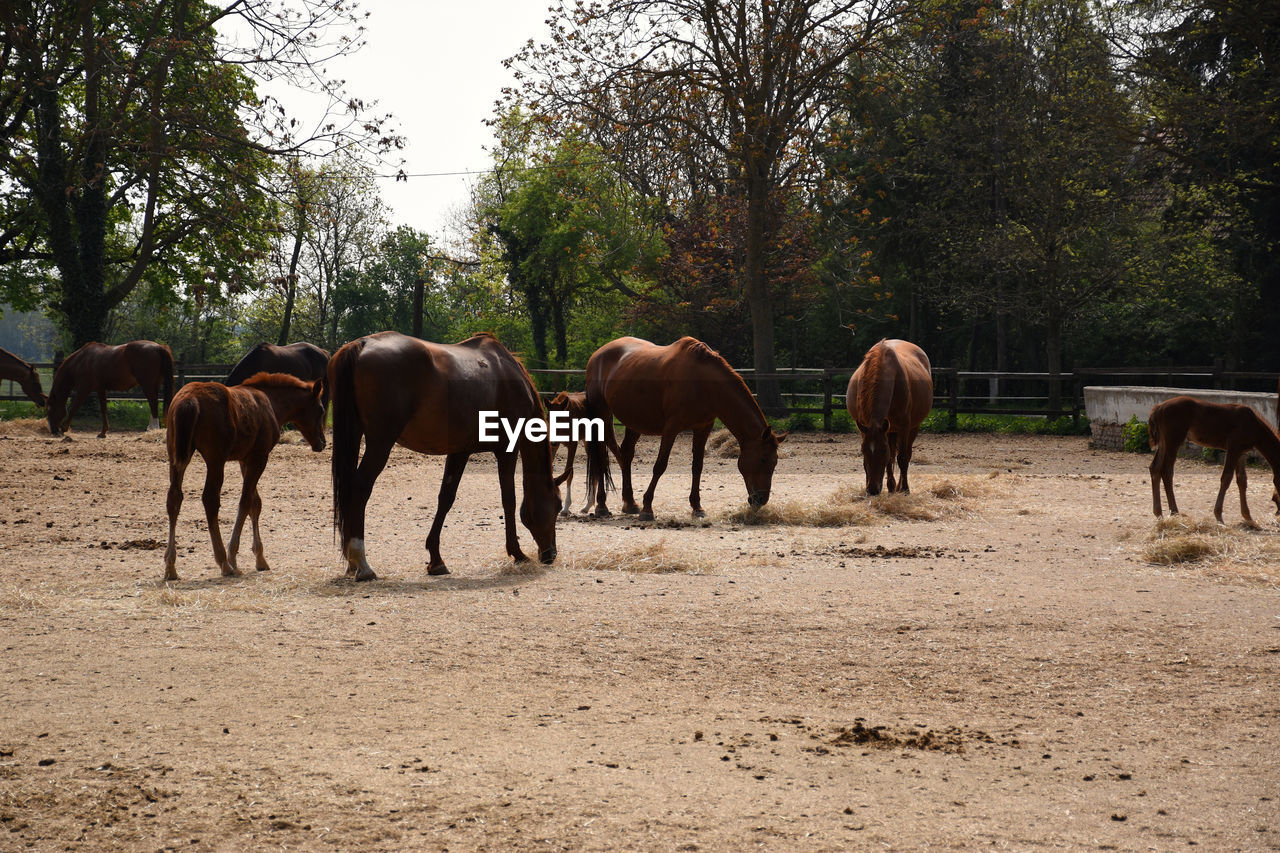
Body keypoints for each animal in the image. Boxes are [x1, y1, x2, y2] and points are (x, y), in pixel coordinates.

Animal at [162, 371, 325, 578]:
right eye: (321, 410)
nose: (322, 443)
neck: (271, 402)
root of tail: (189, 399)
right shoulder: (259, 458)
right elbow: (245, 502)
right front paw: (234, 557)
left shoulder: (244, 460)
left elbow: (255, 503)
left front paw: (260, 558)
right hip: (215, 461)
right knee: (210, 500)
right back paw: (223, 562)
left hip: (175, 457)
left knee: (174, 499)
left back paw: (170, 566)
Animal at [327, 330, 558, 578]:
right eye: (556, 505)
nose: (551, 554)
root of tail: (362, 344)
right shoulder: (507, 450)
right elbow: (509, 500)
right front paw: (518, 553)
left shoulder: (460, 451)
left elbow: (445, 498)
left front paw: (436, 559)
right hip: (380, 443)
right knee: (360, 487)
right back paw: (362, 563)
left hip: (354, 434)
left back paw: (351, 563)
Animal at [583, 333, 783, 517]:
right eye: (763, 459)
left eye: (775, 463)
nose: (761, 499)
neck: (703, 383)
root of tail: (597, 355)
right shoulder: (671, 428)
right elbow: (660, 465)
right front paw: (648, 508)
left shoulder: (703, 428)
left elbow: (697, 466)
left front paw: (697, 506)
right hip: (601, 415)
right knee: (601, 457)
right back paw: (602, 506)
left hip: (635, 422)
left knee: (625, 454)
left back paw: (630, 504)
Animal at [849, 338, 931, 494]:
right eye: (863, 450)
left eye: (882, 450)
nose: (873, 489)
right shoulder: (866, 428)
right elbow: (888, 459)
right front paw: (889, 487)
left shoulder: (904, 427)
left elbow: (902, 458)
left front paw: (904, 489)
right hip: (890, 430)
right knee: (893, 455)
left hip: (911, 428)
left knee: (905, 454)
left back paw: (900, 487)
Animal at [1146, 394, 1280, 525]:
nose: (1278, 511)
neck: (1253, 424)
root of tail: (1158, 408)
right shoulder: (1233, 449)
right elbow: (1226, 478)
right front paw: (1218, 516)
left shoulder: (1241, 452)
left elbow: (1242, 480)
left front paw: (1248, 516)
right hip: (1173, 441)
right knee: (1166, 470)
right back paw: (1174, 512)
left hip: (1164, 442)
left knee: (1155, 468)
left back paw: (1158, 513)